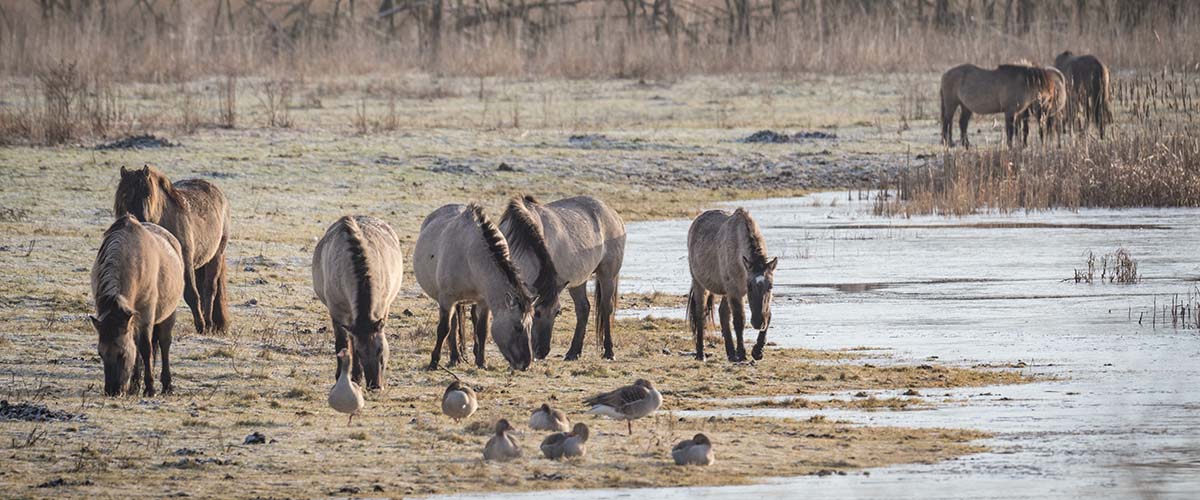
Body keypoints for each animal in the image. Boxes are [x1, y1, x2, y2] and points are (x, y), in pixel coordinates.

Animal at [89, 213, 184, 393]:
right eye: (100, 354)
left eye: (122, 354)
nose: (112, 391)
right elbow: (137, 348)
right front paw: (136, 385)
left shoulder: (146, 314)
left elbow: (146, 348)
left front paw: (150, 388)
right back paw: (134, 385)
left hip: (169, 314)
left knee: (164, 343)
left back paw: (166, 384)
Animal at [114, 165, 231, 333]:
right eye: (125, 194)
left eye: (147, 193)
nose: (138, 220)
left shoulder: (186, 262)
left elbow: (191, 294)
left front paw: (201, 326)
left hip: (215, 256)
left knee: (209, 289)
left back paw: (208, 323)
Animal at [417, 202, 540, 369]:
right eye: (518, 327)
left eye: (531, 326)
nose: (526, 364)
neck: (469, 256)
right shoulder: (447, 299)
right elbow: (444, 329)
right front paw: (434, 361)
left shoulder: (483, 301)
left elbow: (482, 330)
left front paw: (482, 362)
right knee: (452, 326)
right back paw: (455, 357)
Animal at [499, 194, 628, 359]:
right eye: (537, 313)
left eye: (557, 313)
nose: (542, 352)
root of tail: (614, 215)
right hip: (578, 281)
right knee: (583, 308)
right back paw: (573, 352)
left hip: (607, 275)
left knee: (606, 308)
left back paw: (609, 352)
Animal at [691, 205, 782, 359]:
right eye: (749, 286)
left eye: (771, 286)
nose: (758, 322)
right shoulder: (735, 291)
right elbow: (739, 320)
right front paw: (742, 353)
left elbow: (769, 315)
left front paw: (757, 351)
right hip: (699, 284)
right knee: (700, 315)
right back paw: (701, 354)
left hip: (725, 291)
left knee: (723, 313)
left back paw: (731, 354)